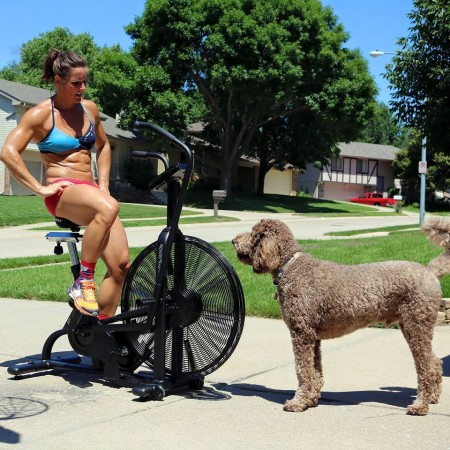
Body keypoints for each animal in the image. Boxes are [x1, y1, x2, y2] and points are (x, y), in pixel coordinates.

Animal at [232, 217, 450, 414]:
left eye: (254, 234)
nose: (233, 240)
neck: (291, 267)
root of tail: (430, 272)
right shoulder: (313, 337)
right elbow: (315, 371)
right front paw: (311, 400)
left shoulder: (301, 333)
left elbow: (303, 371)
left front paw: (297, 402)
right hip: (412, 326)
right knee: (435, 362)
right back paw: (433, 398)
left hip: (416, 325)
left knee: (426, 367)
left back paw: (420, 406)